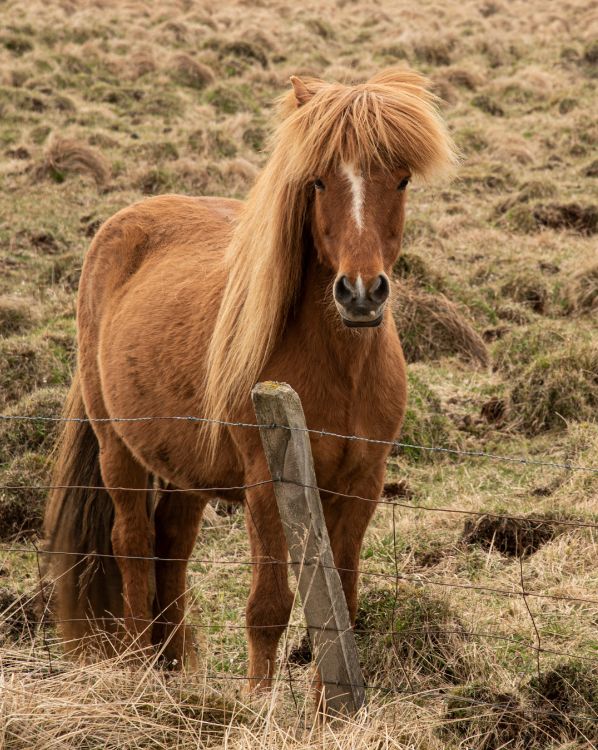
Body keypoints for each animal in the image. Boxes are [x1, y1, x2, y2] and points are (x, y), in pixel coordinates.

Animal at [44, 67, 456, 690]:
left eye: (402, 180)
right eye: (317, 182)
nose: (360, 293)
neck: (342, 370)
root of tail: (119, 225)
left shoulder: (363, 482)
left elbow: (341, 605)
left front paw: (331, 707)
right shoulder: (266, 482)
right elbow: (268, 607)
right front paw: (260, 702)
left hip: (185, 468)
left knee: (170, 546)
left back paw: (172, 673)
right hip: (119, 448)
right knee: (132, 545)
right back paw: (139, 671)